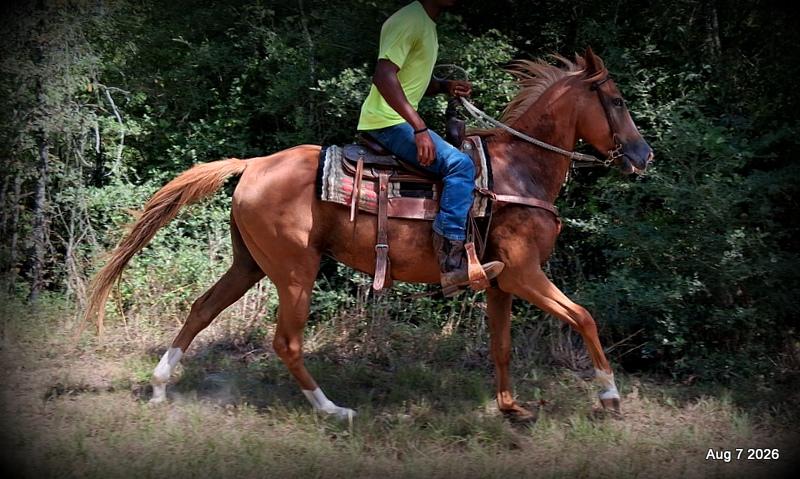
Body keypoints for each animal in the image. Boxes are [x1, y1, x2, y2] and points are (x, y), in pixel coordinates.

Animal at [84, 48, 653, 421]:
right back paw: (331, 409)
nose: (643, 156)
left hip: (249, 263)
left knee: (202, 309)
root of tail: (252, 165)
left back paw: (161, 387)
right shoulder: (523, 273)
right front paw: (609, 395)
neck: (520, 172)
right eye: (618, 101)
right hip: (295, 271)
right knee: (286, 341)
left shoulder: (500, 284)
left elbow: (502, 347)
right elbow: (584, 317)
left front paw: (511, 409)